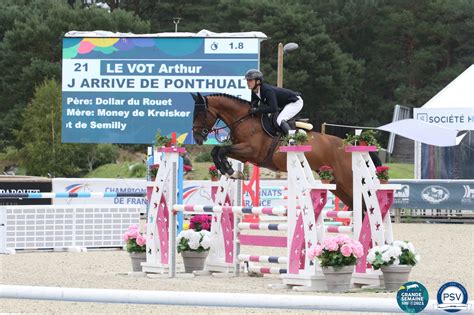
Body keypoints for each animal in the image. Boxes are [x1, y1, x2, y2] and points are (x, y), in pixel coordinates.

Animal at [191, 92, 376, 209]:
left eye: (200, 113)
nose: (197, 138)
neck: (244, 120)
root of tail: (349, 145)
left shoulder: (250, 150)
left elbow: (220, 150)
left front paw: (230, 170)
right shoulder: (243, 155)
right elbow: (217, 151)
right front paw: (230, 171)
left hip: (347, 180)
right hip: (336, 183)